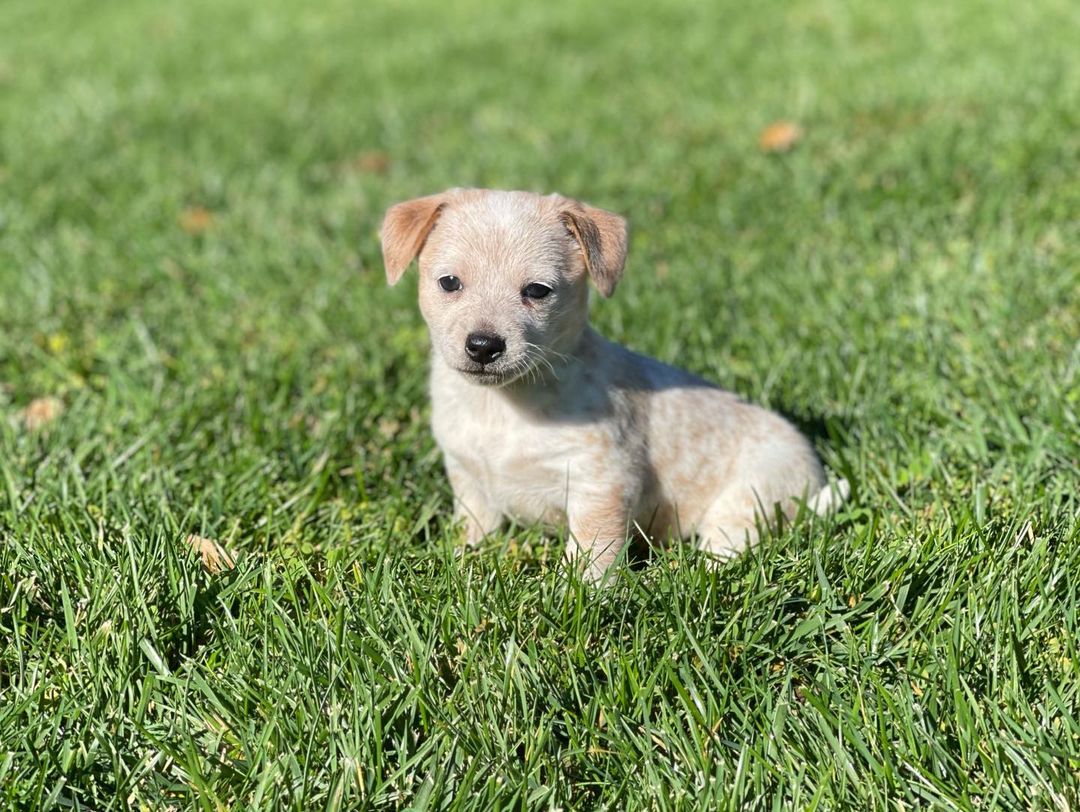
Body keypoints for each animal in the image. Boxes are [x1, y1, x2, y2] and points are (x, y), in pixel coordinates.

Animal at [384, 186, 846, 578]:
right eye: (449, 282)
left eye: (537, 290)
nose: (483, 346)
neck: (501, 407)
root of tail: (814, 470)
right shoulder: (468, 479)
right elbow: (475, 528)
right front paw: (462, 558)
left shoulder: (600, 483)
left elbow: (591, 554)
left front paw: (577, 597)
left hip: (753, 495)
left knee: (728, 544)